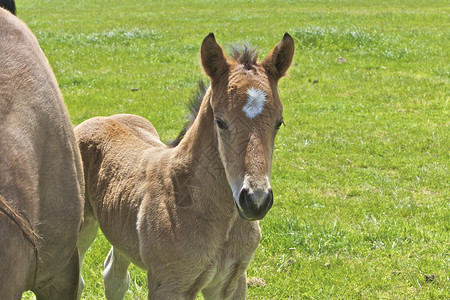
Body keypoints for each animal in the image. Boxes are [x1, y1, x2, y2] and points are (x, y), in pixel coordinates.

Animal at [76, 33, 296, 300]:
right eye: (220, 122)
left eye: (279, 122)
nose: (256, 200)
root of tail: (101, 119)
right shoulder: (169, 285)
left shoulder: (232, 282)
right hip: (82, 226)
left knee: (114, 276)